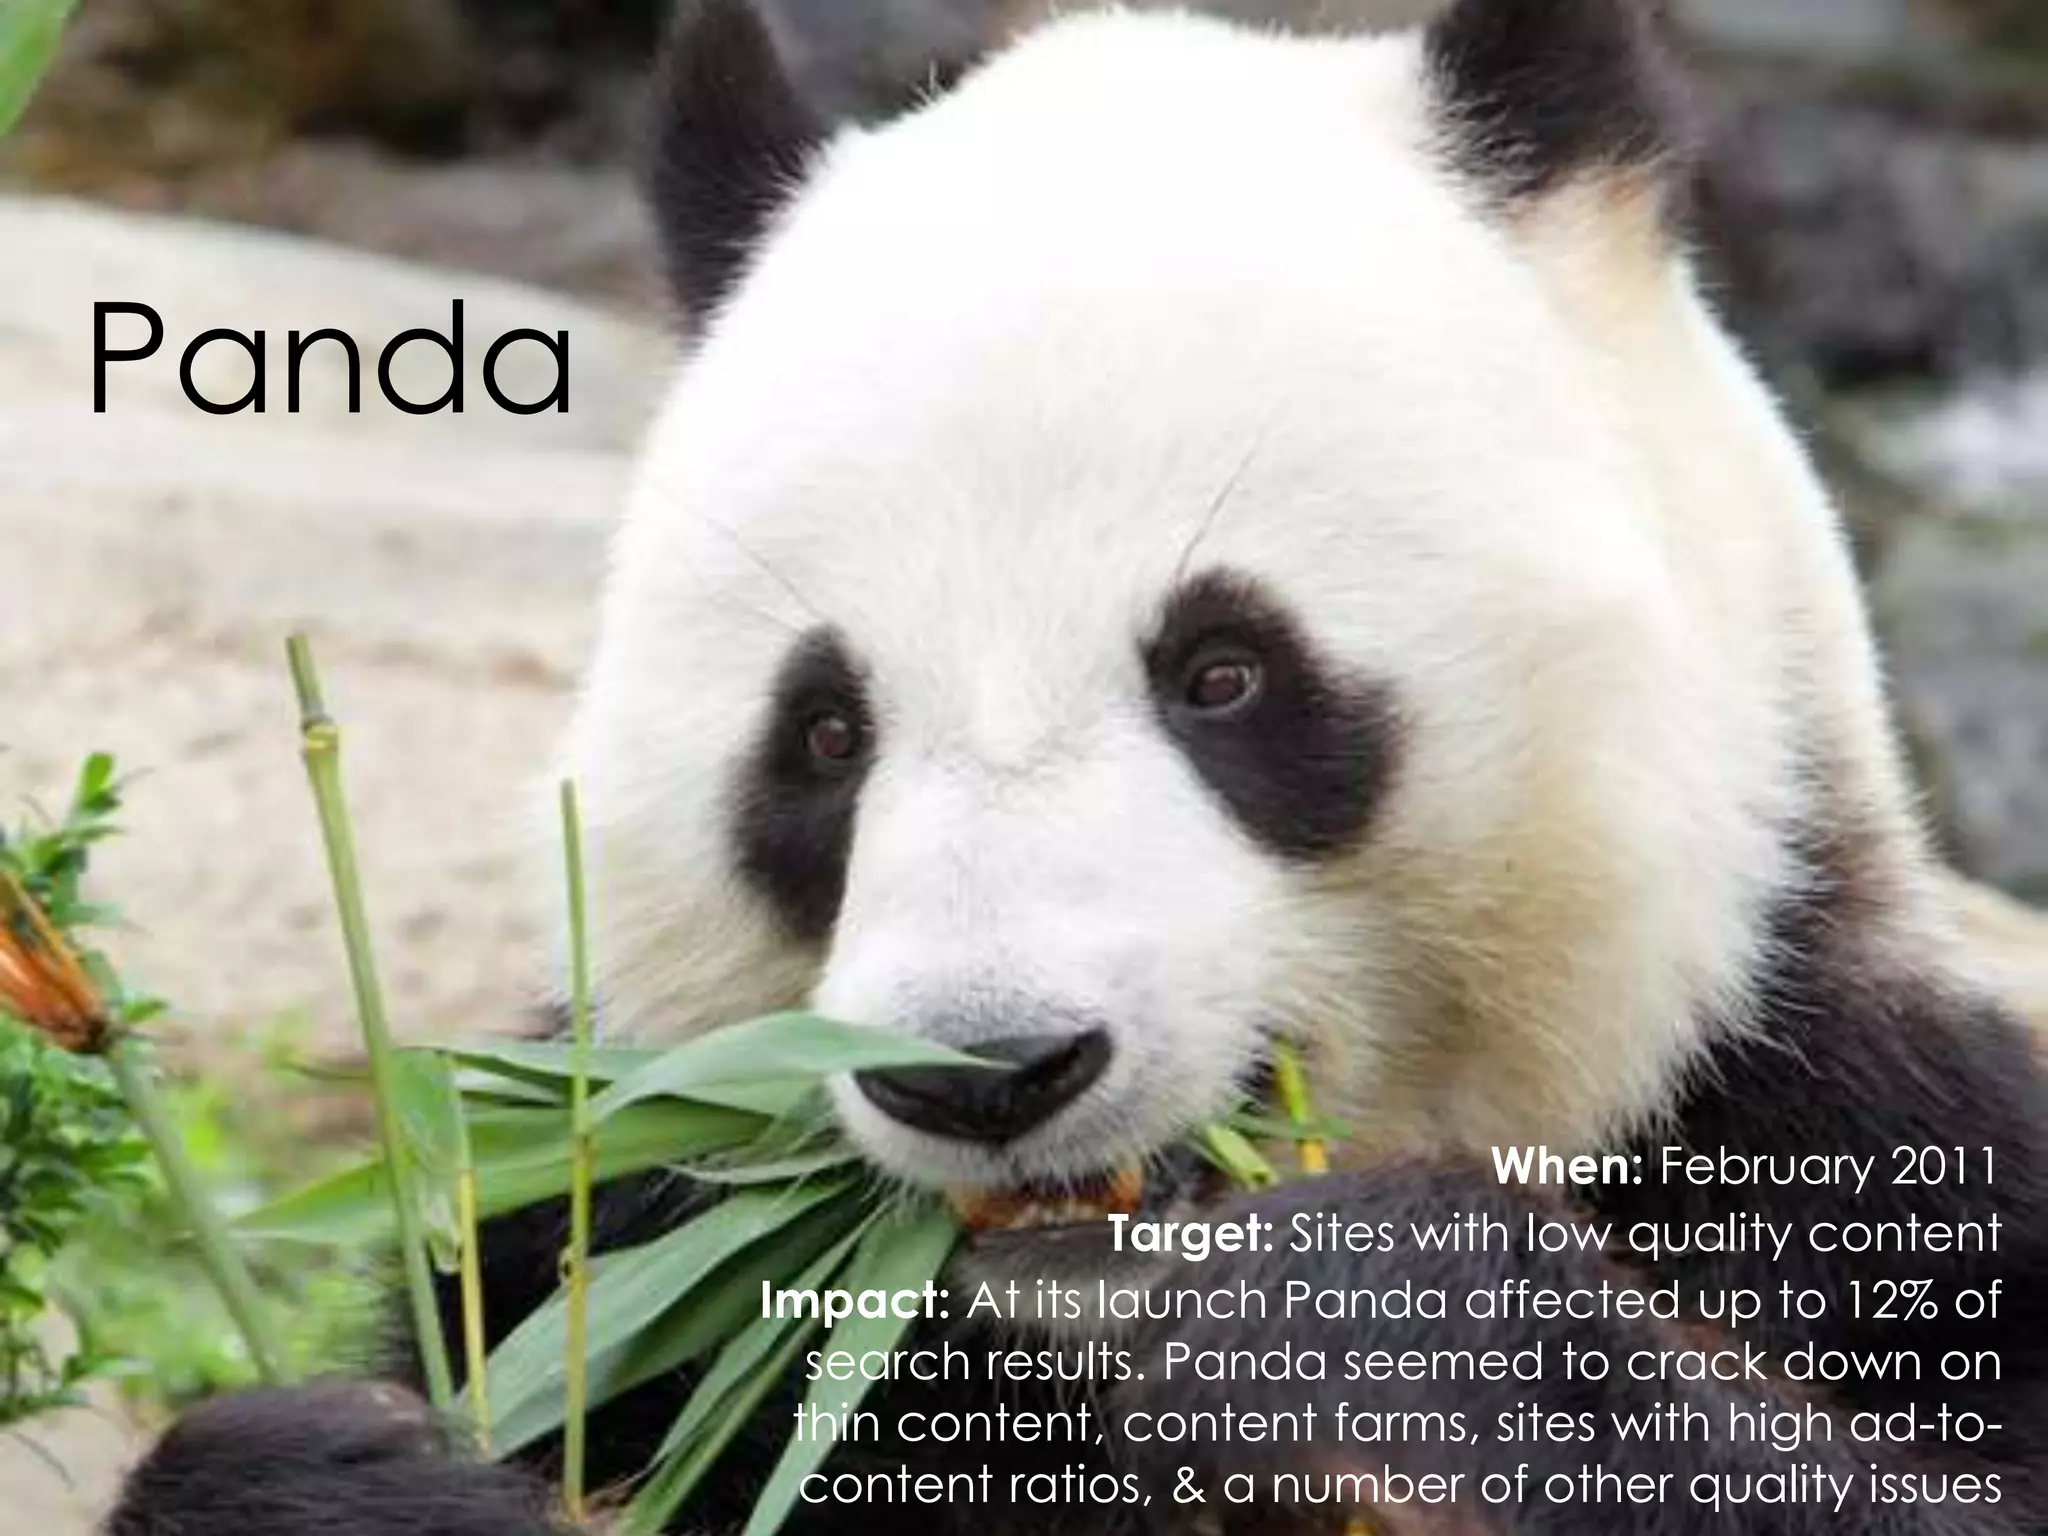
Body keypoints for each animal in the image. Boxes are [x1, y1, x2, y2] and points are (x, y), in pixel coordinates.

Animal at [109, 0, 2048, 1533]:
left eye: (1224, 672)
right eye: (824, 730)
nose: (984, 1071)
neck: (1069, 1329)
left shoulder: (1843, 1138)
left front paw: (1348, 1315)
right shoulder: (609, 1246)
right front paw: (344, 1477)